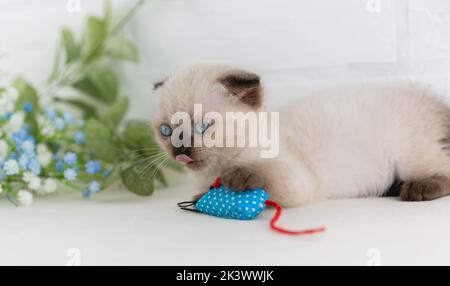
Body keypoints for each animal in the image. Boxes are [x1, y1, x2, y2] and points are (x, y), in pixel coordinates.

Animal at [153, 64, 450, 208]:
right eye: (166, 130)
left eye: (203, 126)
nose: (180, 149)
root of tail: (434, 101)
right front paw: (200, 197)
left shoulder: (298, 180)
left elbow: (266, 175)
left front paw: (239, 177)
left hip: (409, 156)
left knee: (443, 171)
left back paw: (415, 189)